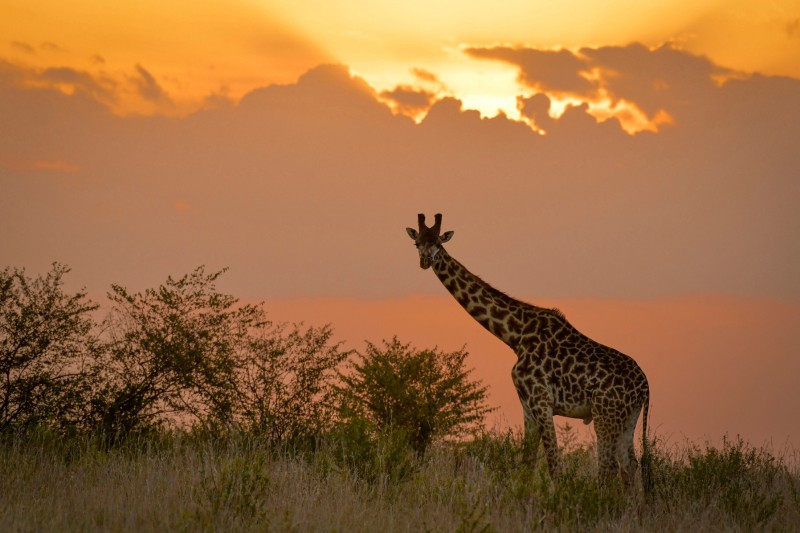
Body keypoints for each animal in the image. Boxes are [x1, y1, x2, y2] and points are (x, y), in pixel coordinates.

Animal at [406, 212, 648, 490]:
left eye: (438, 243)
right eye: (417, 243)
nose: (425, 260)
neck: (516, 335)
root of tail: (645, 386)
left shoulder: (541, 400)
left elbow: (554, 464)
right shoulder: (527, 405)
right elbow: (526, 464)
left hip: (605, 415)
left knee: (608, 467)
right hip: (627, 418)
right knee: (629, 466)